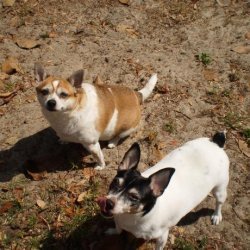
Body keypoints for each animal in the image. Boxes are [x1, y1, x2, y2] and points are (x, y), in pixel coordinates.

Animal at [97, 132, 229, 249]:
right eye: (115, 183)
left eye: (134, 197)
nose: (108, 202)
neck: (133, 217)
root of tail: (216, 142)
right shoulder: (118, 220)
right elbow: (118, 229)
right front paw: (112, 231)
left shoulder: (162, 237)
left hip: (220, 190)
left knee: (219, 203)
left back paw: (216, 215)